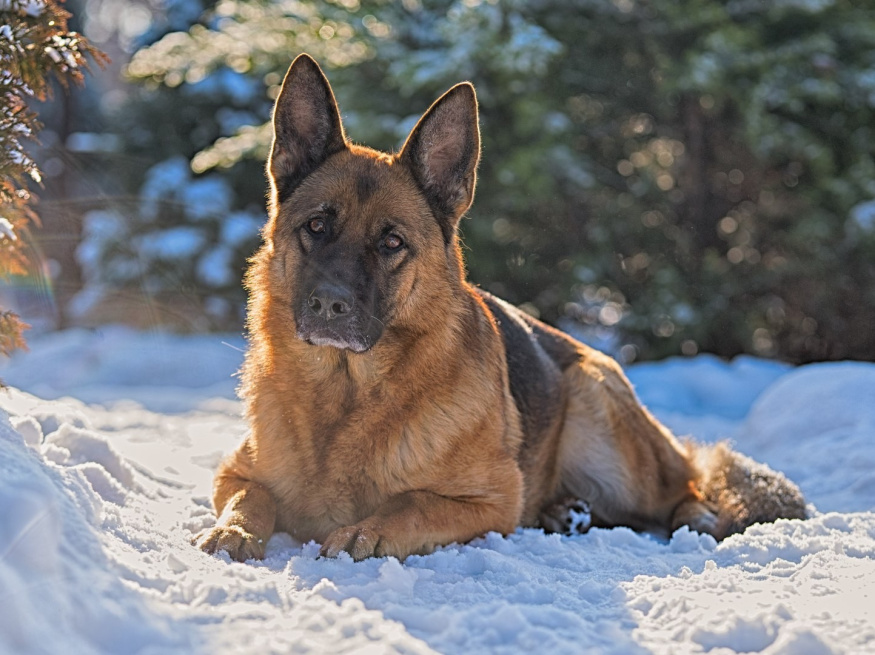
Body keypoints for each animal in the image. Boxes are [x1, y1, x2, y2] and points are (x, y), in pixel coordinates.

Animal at [198, 53, 808, 560]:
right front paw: (233, 531)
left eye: (392, 242)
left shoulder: (491, 501)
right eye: (316, 227)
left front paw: (364, 531)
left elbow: (410, 504)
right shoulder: (234, 473)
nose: (329, 304)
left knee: (685, 486)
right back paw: (567, 512)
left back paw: (683, 515)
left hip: (600, 415)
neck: (344, 397)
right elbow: (252, 499)